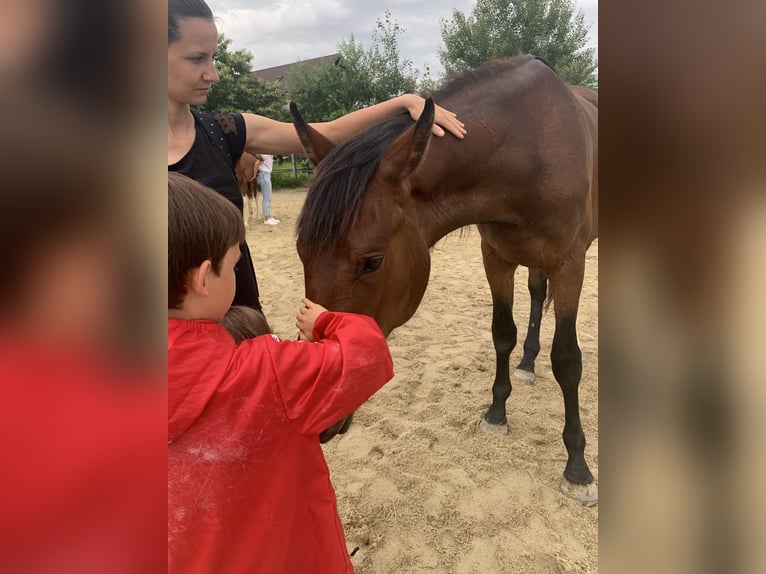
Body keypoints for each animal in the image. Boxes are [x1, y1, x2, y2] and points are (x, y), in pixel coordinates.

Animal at [290, 55, 598, 505]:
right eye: (302, 252)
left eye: (373, 262)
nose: (313, 414)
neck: (530, 146)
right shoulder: (496, 259)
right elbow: (502, 334)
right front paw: (497, 413)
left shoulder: (570, 265)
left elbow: (567, 360)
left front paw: (577, 467)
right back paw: (527, 362)